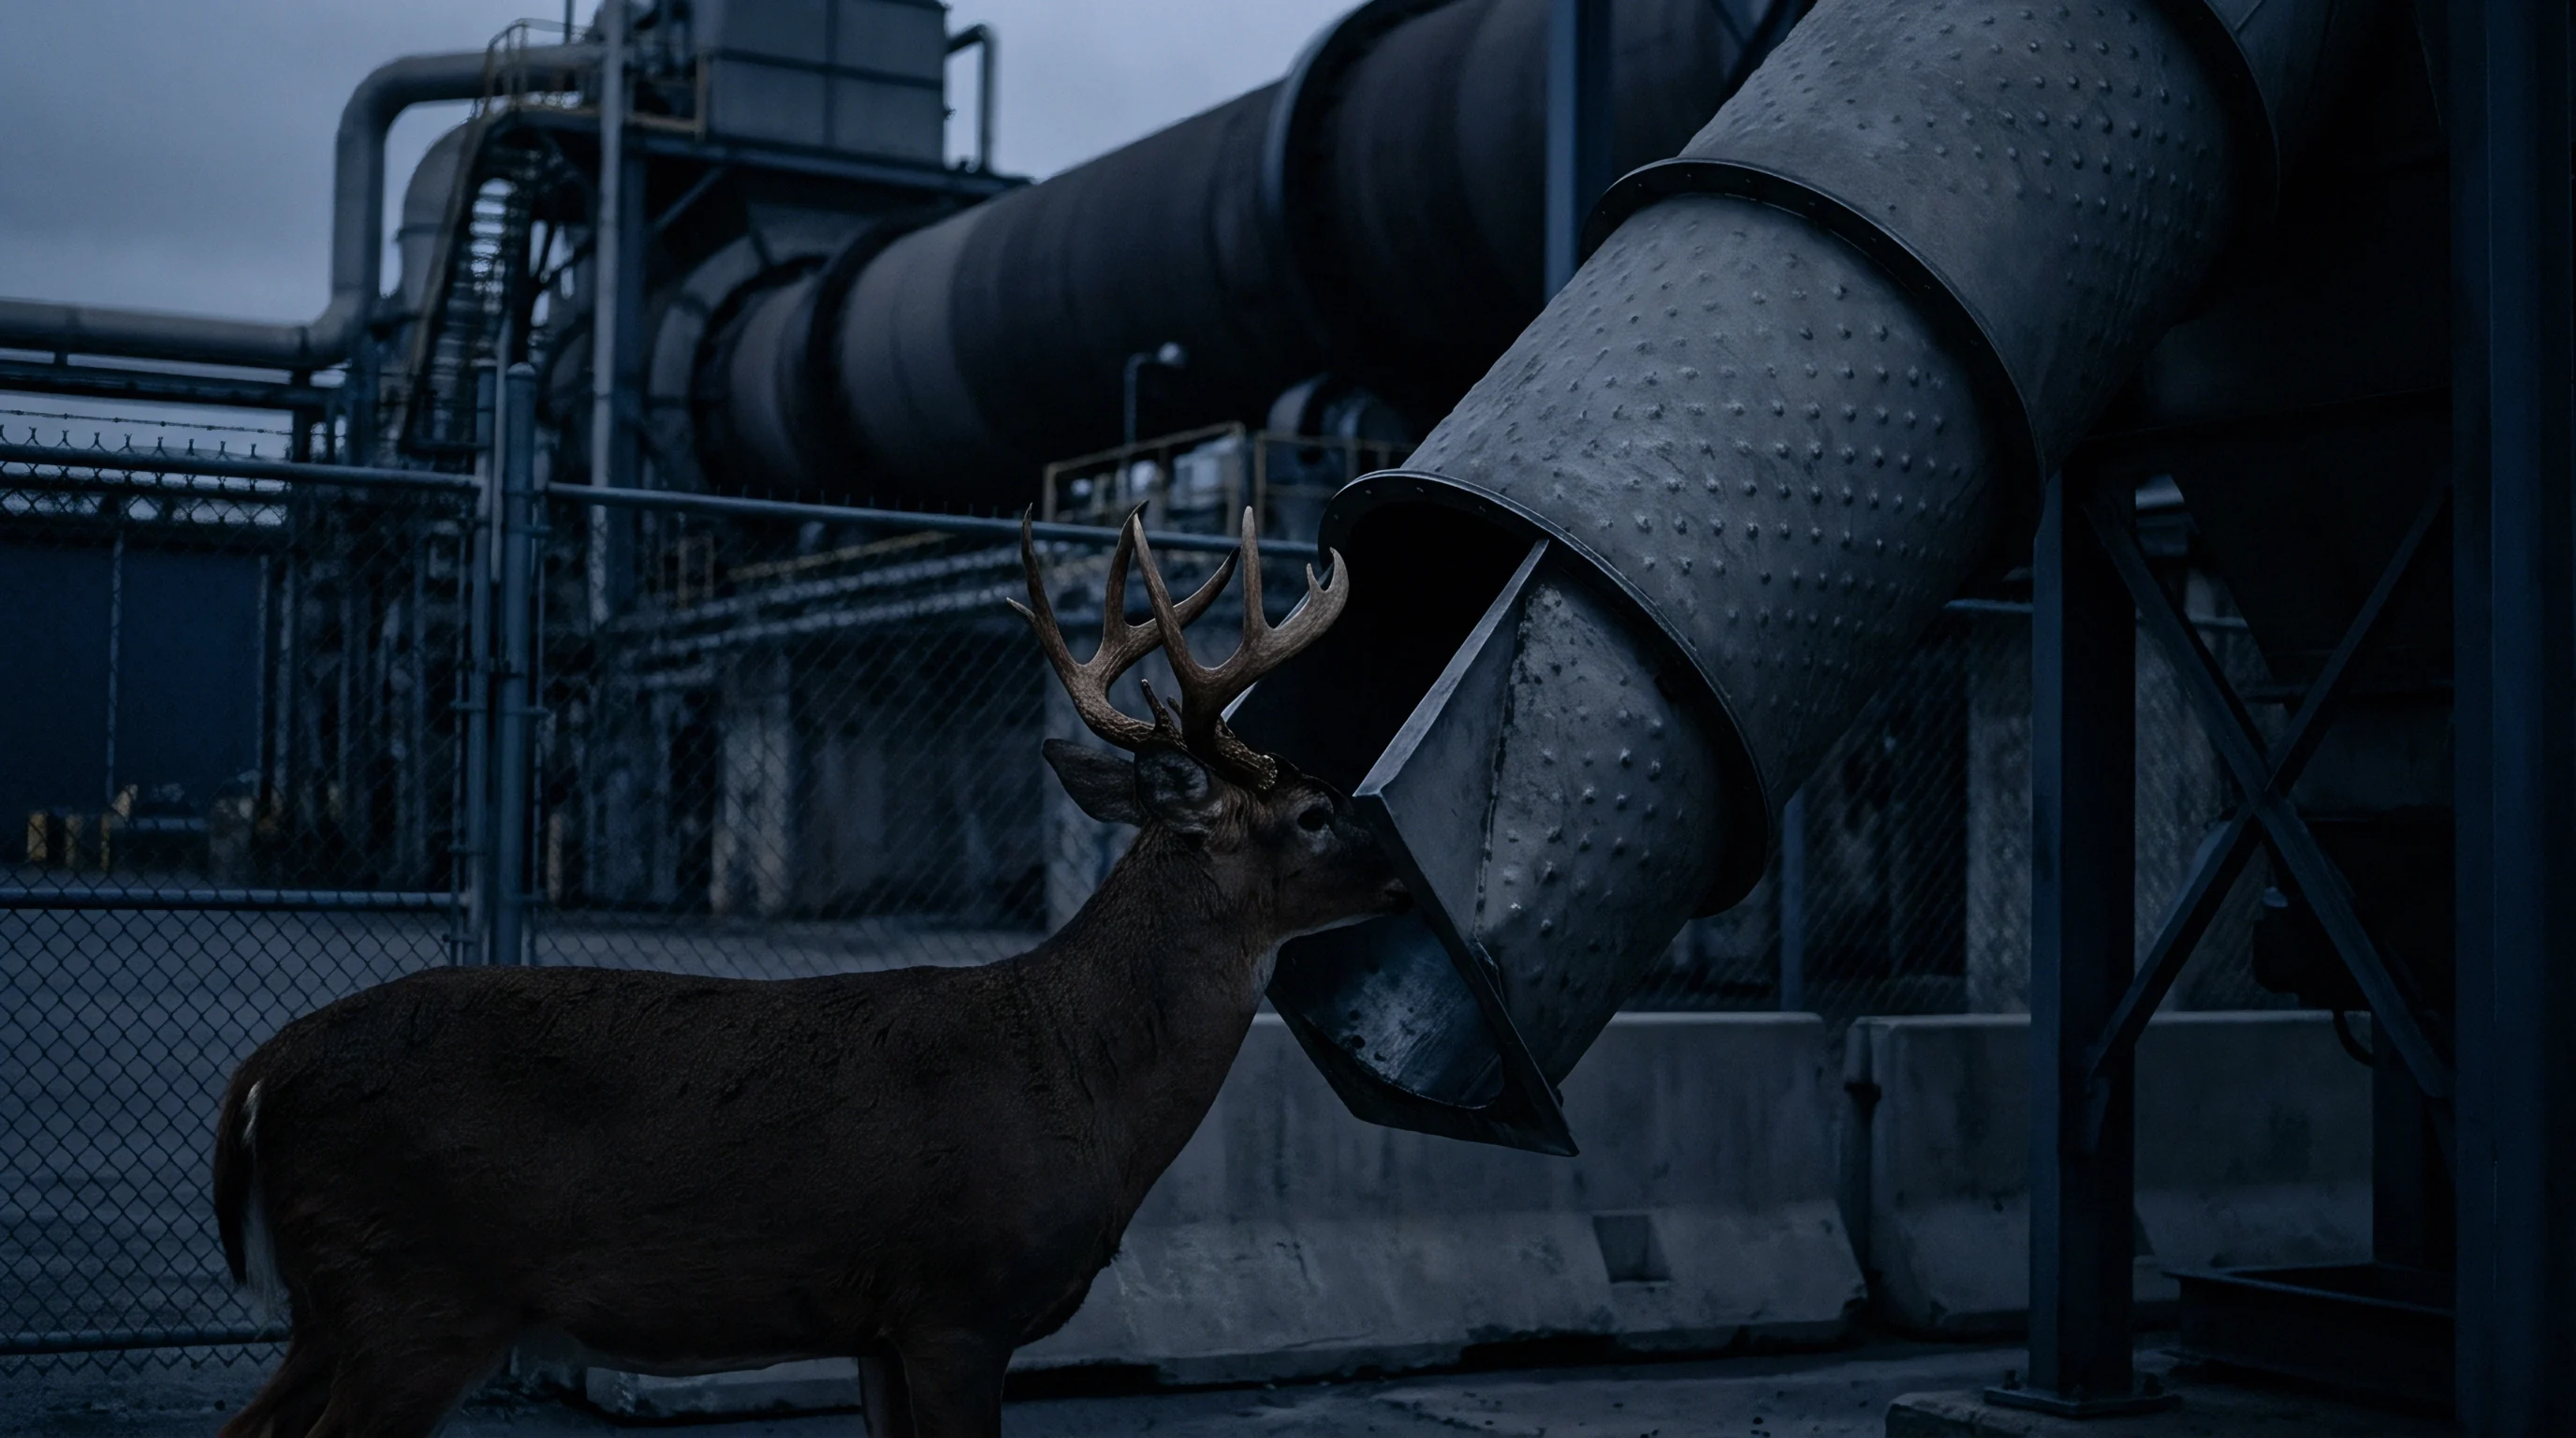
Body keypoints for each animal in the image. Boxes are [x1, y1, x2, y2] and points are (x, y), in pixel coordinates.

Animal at [208, 510, 1401, 1438]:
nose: (1400, 857)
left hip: (334, 1310)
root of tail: (262, 1074)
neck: (1079, 1077)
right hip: (415, 1292)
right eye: (1312, 811)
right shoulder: (958, 1302)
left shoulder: (876, 1325)